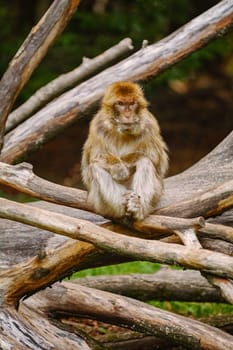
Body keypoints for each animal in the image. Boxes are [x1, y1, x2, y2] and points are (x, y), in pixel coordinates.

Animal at [81, 80, 168, 220]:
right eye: (121, 104)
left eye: (132, 103)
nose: (127, 115)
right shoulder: (98, 126)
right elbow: (92, 159)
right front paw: (118, 167)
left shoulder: (149, 125)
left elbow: (154, 159)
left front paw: (128, 161)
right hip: (100, 204)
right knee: (95, 166)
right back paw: (122, 202)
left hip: (155, 195)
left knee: (145, 162)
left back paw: (136, 207)